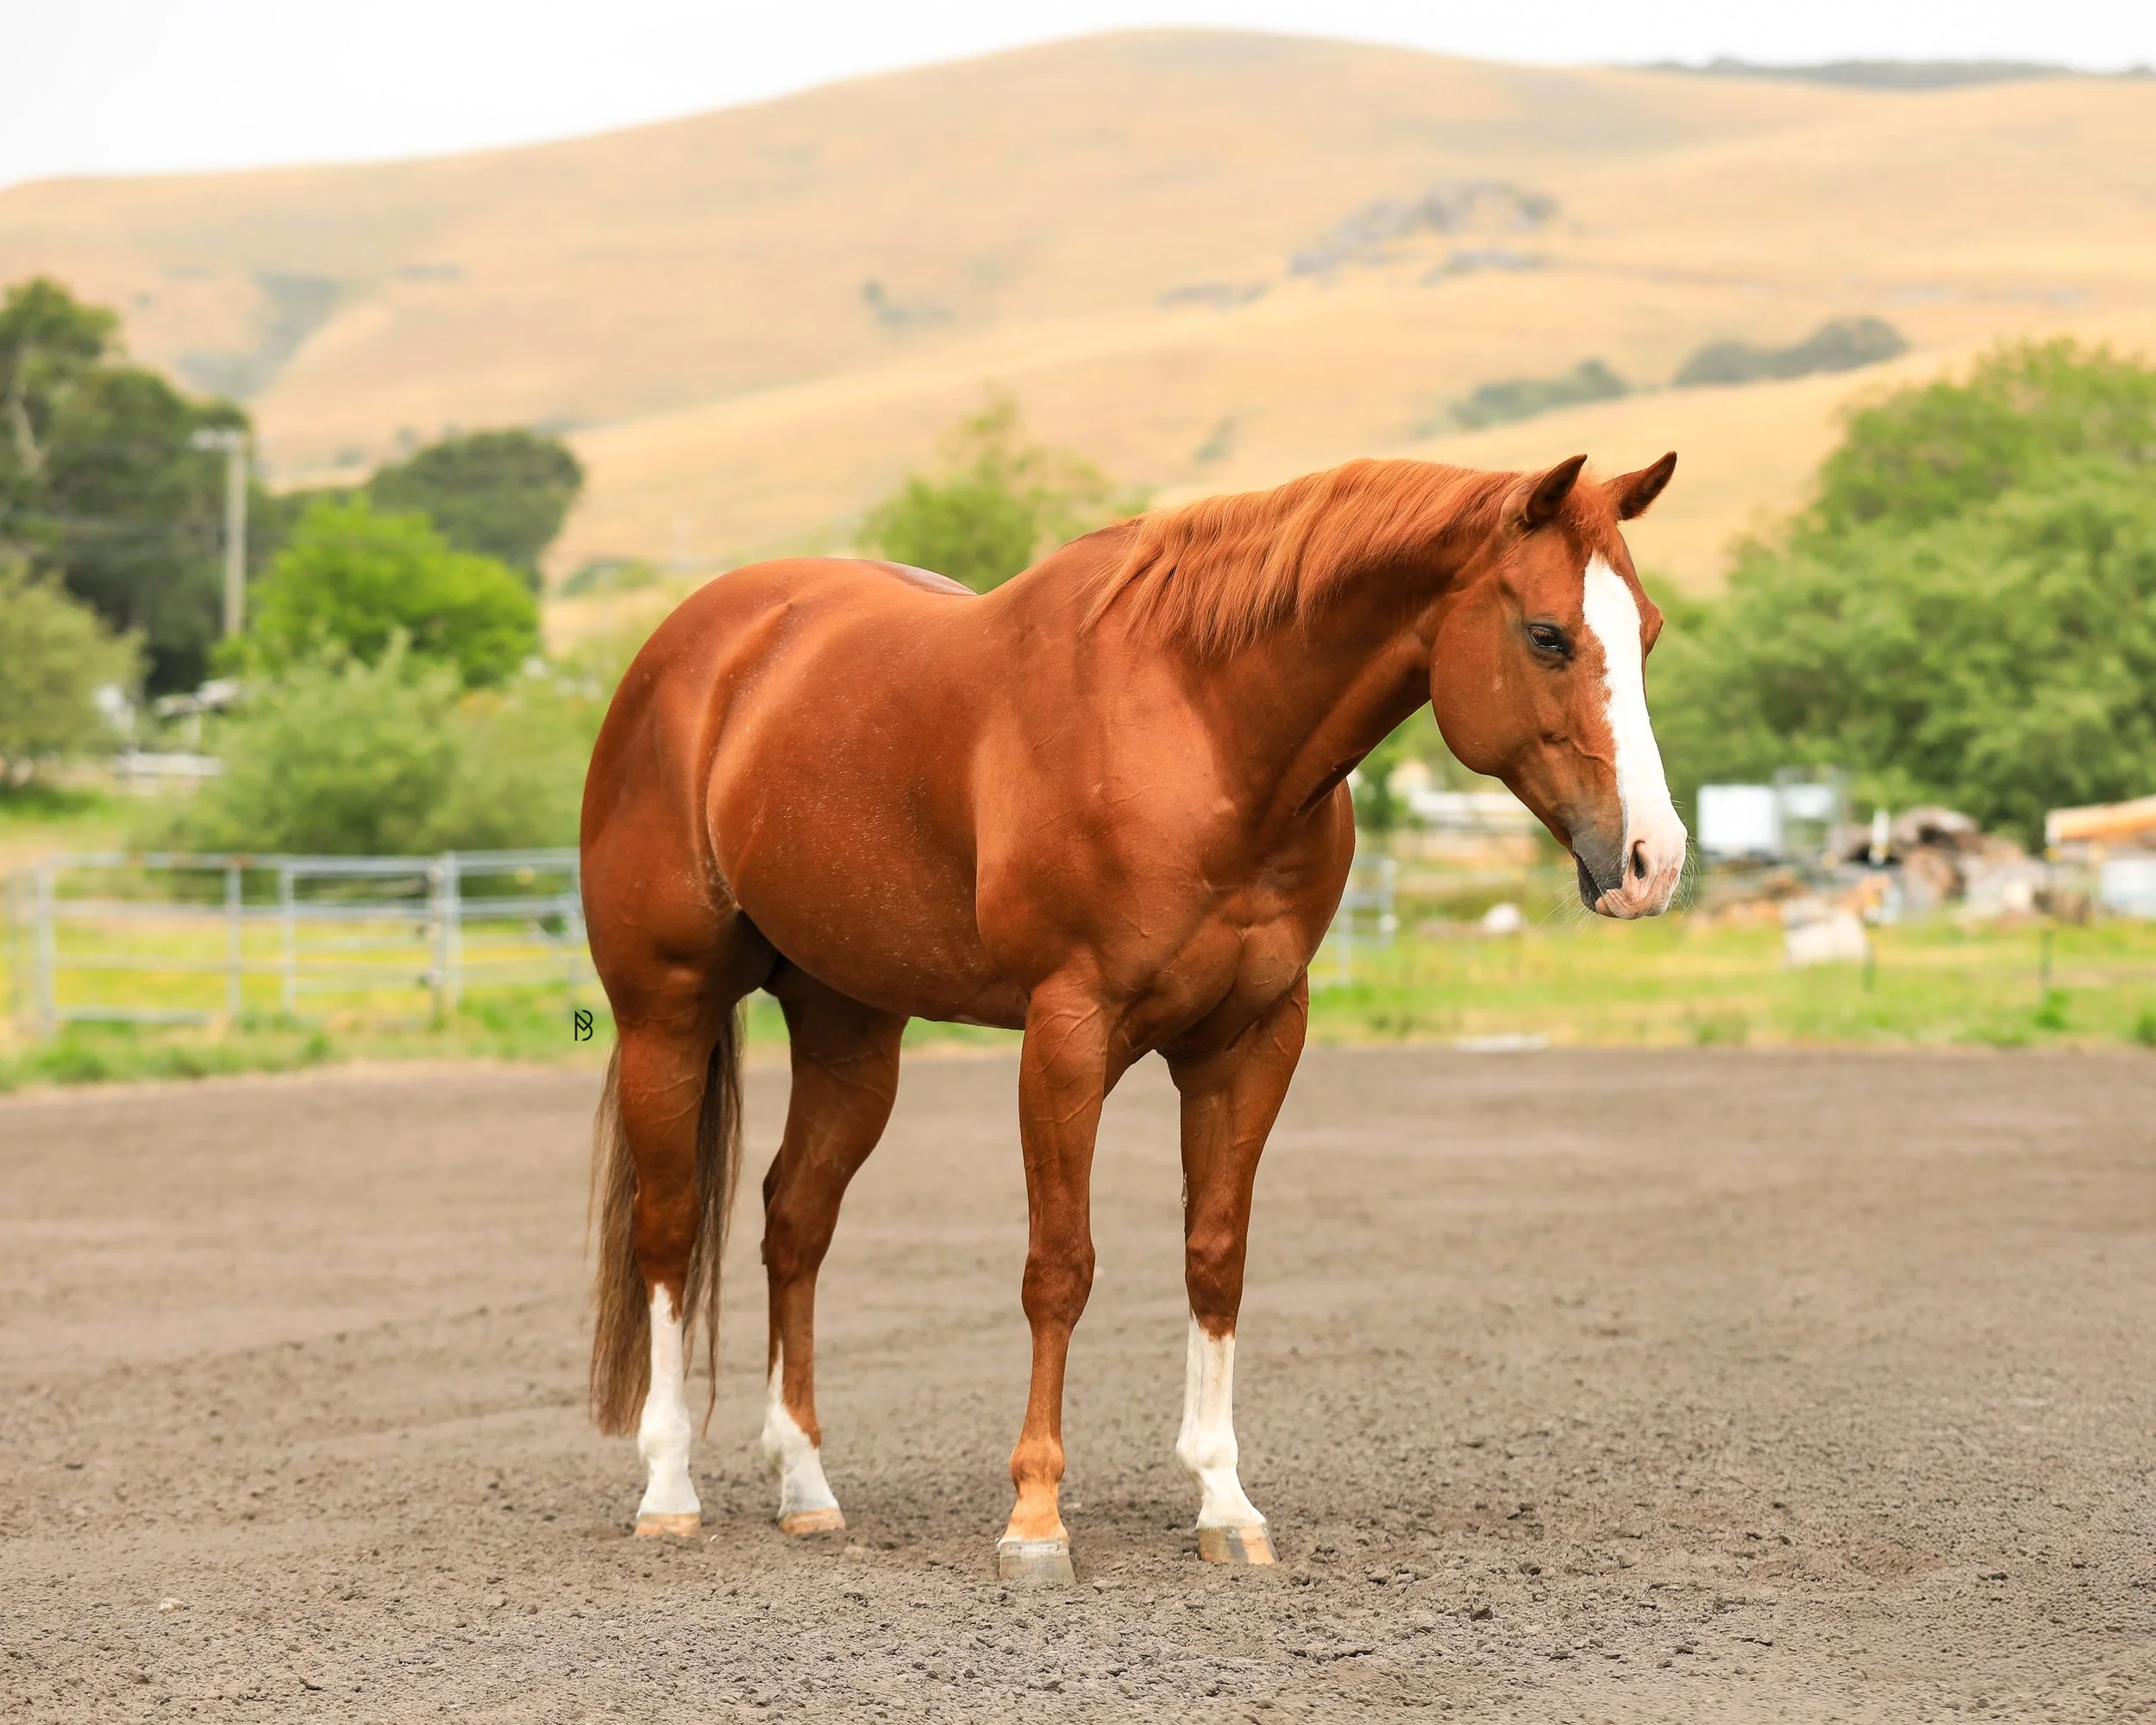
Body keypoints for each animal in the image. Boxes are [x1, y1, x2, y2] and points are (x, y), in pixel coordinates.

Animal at [578, 450, 1686, 1582]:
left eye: (1645, 631)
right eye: (1546, 634)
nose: (1653, 861)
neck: (1203, 730)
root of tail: (700, 646)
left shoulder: (1250, 1040)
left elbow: (1215, 1255)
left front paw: (1223, 1499)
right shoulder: (1068, 1031)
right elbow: (1059, 1267)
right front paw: (1034, 1518)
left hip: (849, 1032)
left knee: (794, 1222)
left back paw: (805, 1484)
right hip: (664, 1013)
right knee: (670, 1232)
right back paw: (667, 1488)